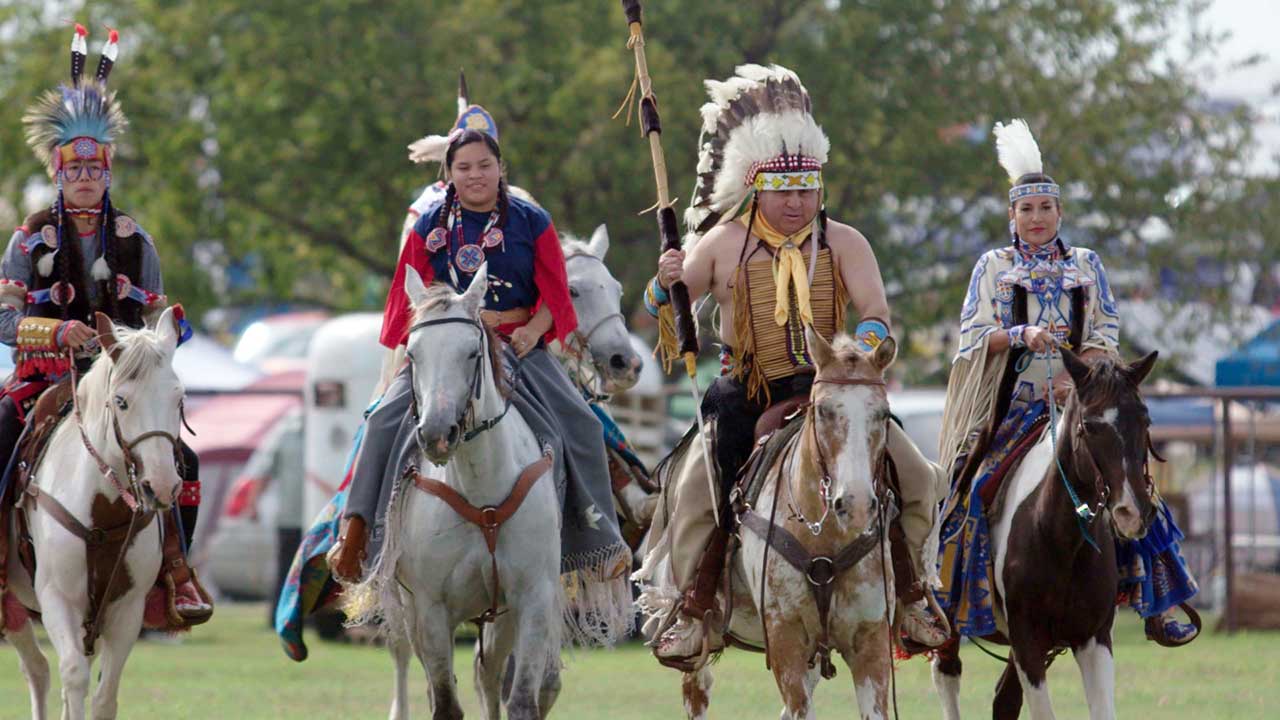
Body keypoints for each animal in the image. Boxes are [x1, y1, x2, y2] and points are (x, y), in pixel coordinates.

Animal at [931, 348, 1162, 717]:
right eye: (1088, 426)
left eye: (1145, 420)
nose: (1131, 511)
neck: (1060, 539)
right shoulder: (1027, 639)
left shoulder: (1095, 637)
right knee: (946, 674)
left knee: (1004, 697)